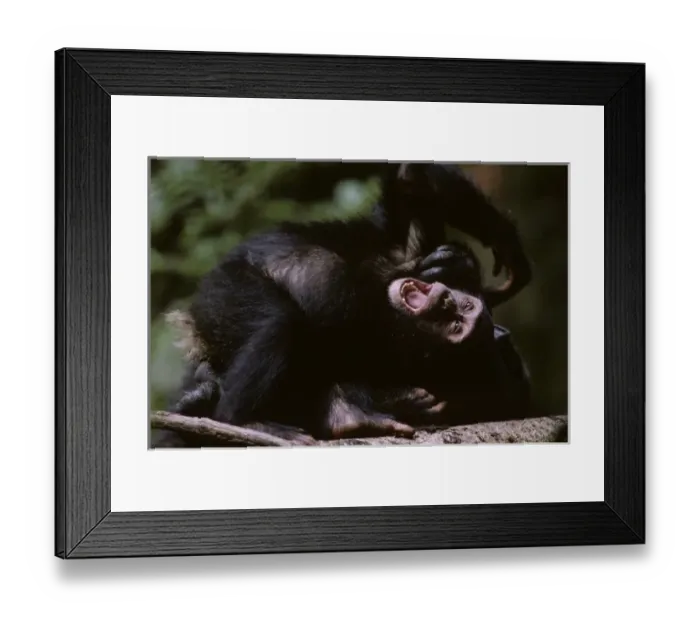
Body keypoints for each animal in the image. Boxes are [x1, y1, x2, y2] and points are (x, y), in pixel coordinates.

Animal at [150, 163, 532, 446]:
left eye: (456, 325)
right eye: (463, 310)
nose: (447, 301)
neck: (385, 315)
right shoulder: (402, 253)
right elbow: (409, 182)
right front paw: (506, 254)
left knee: (276, 323)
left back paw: (247, 421)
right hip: (222, 290)